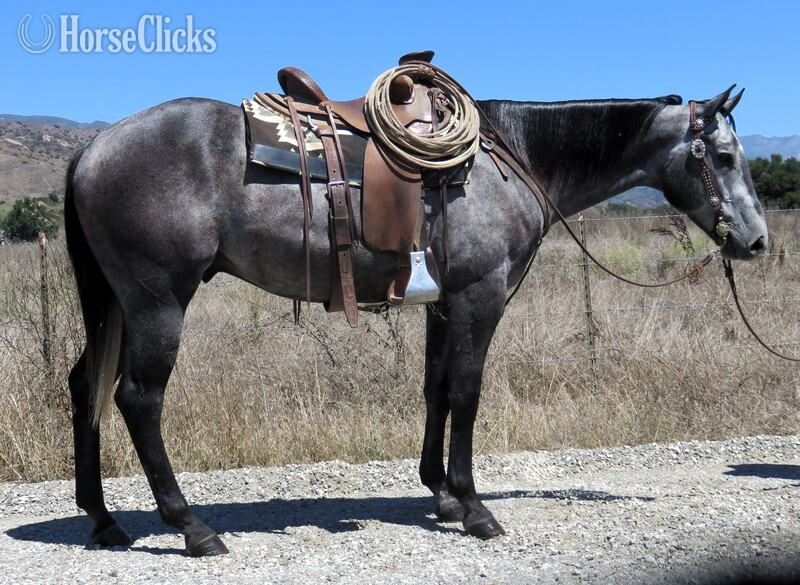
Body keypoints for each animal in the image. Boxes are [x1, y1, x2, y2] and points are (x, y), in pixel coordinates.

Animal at [64, 84, 768, 556]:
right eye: (724, 157)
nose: (756, 241)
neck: (509, 163)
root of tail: (94, 147)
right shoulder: (482, 298)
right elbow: (466, 393)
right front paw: (475, 507)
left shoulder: (445, 304)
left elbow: (435, 390)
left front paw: (442, 495)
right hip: (158, 301)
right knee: (138, 398)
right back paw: (191, 527)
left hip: (117, 304)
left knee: (83, 387)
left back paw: (103, 519)